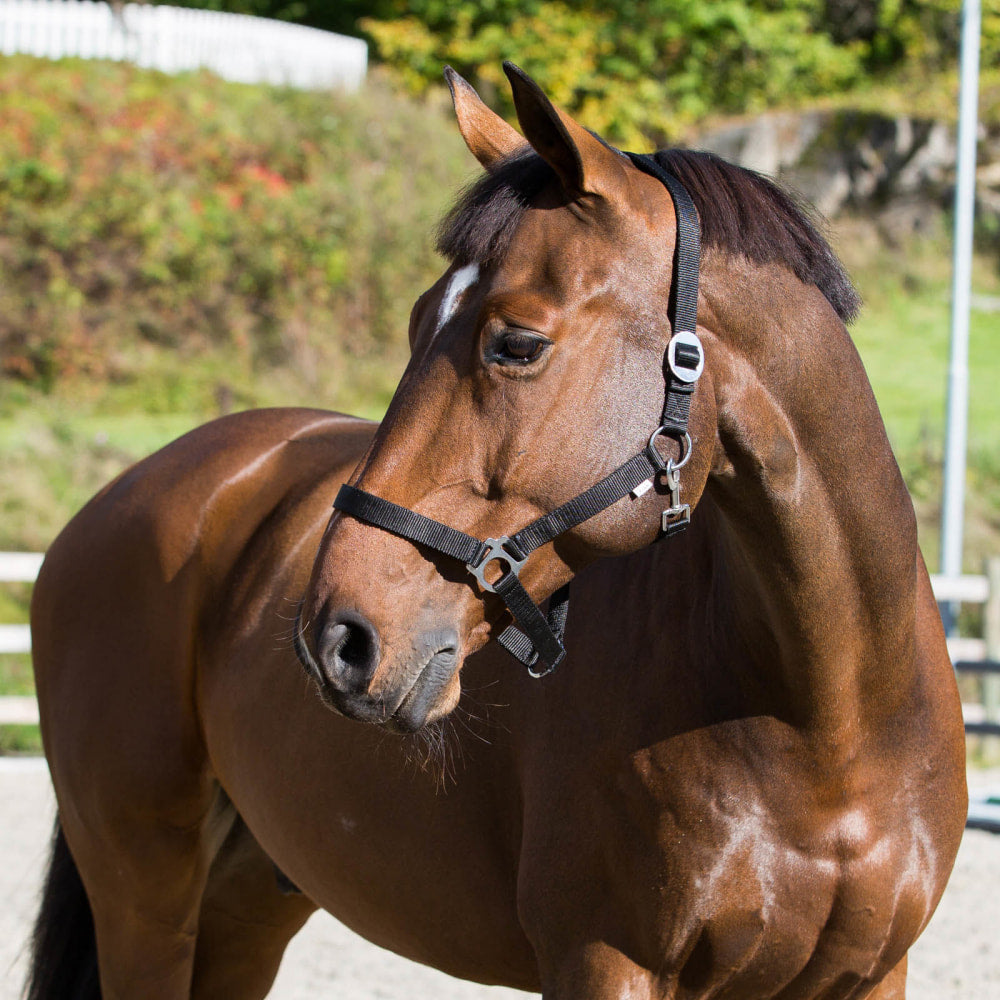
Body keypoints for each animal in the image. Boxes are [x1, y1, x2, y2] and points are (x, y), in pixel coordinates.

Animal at [27, 64, 964, 1000]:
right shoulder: (602, 964)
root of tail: (119, 499)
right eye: (415, 323)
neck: (830, 722)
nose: (337, 640)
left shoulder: (874, 974)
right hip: (146, 898)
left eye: (516, 343)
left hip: (247, 900)